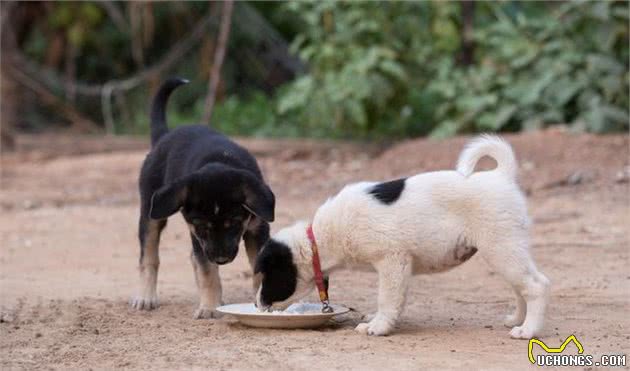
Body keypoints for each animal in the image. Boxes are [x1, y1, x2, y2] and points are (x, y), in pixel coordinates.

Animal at [130, 78, 276, 320]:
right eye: (202, 225)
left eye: (234, 223)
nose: (221, 259)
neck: (219, 162)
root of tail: (164, 137)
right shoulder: (198, 237)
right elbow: (207, 273)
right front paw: (208, 307)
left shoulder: (257, 229)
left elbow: (258, 268)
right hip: (150, 215)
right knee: (149, 258)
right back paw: (145, 297)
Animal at [254, 135, 552, 338]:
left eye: (268, 276)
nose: (256, 303)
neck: (319, 238)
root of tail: (501, 176)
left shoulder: (392, 260)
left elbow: (387, 298)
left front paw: (377, 326)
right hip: (509, 249)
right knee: (524, 285)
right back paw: (517, 320)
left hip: (501, 248)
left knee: (536, 286)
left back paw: (528, 331)